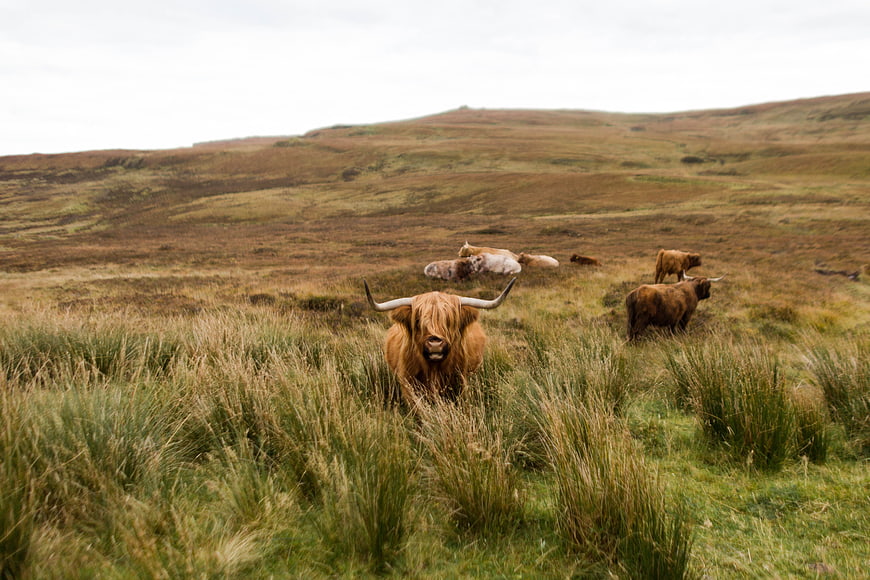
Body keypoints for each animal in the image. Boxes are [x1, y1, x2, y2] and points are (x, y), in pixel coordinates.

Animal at [365, 278, 517, 407]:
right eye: (418, 321)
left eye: (449, 321)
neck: (434, 370)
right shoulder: (409, 384)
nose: (435, 344)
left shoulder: (459, 382)